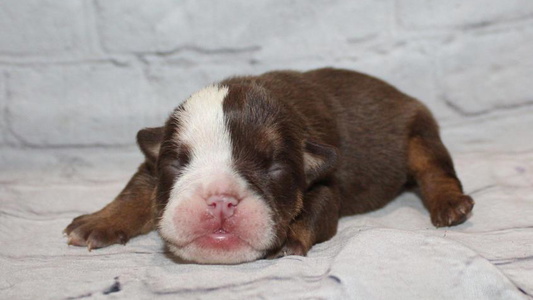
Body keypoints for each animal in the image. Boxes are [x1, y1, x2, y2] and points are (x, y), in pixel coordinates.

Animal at [63, 67, 474, 262]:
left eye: (274, 169)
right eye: (178, 164)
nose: (220, 200)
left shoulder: (325, 182)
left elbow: (315, 210)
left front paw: (289, 238)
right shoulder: (152, 164)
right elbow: (134, 193)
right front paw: (98, 222)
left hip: (419, 133)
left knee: (434, 169)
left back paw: (451, 205)